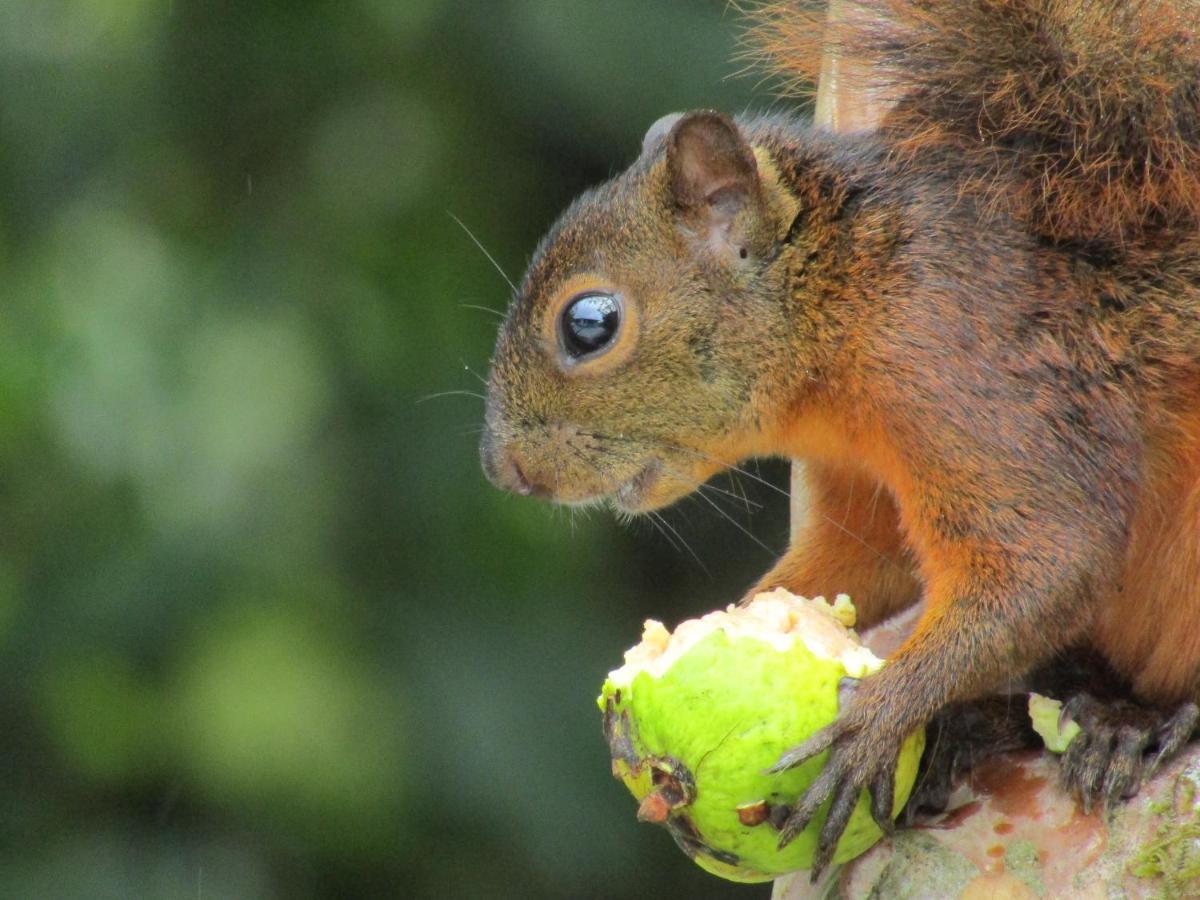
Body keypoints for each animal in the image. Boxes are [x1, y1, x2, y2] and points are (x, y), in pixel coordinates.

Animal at [482, 0, 1200, 878]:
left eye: (589, 324)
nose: (502, 470)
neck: (846, 290)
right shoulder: (860, 476)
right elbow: (852, 569)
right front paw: (704, 644)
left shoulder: (974, 382)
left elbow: (1049, 562)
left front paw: (874, 721)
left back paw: (1131, 725)